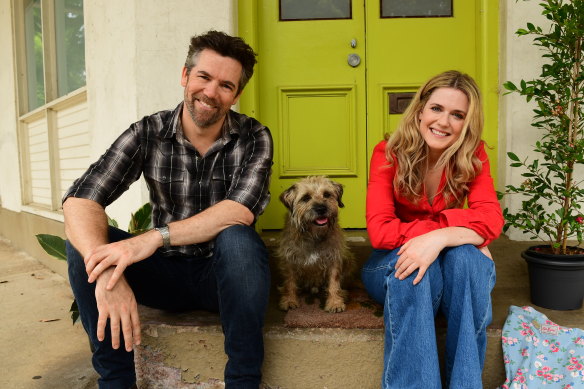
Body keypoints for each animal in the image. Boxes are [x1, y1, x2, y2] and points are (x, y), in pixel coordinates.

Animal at [276, 176, 354, 312]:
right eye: (306, 197)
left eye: (327, 194)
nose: (321, 209)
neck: (313, 235)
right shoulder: (289, 260)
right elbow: (289, 281)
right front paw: (289, 300)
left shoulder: (334, 258)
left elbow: (334, 282)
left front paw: (335, 302)